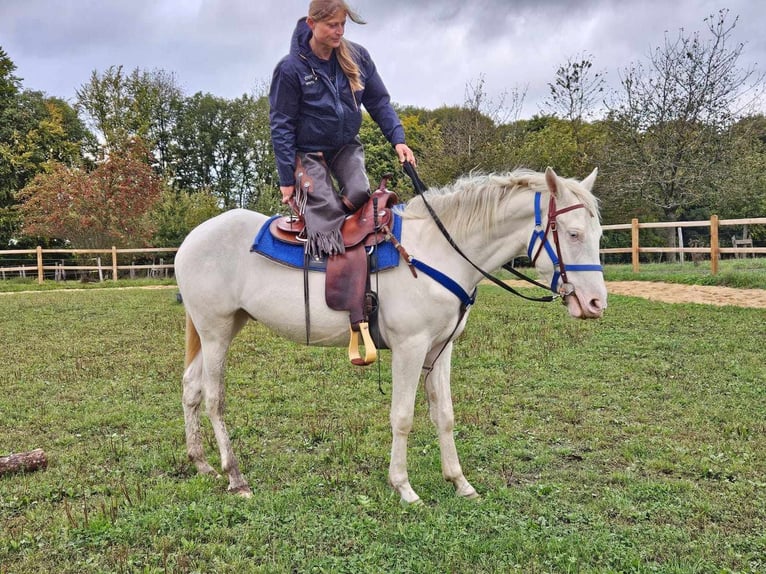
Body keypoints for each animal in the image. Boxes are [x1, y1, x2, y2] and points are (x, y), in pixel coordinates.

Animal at [176, 166, 612, 504]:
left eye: (598, 235)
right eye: (572, 234)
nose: (595, 304)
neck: (440, 251)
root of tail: (191, 240)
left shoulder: (441, 349)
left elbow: (445, 414)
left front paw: (460, 482)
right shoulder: (410, 347)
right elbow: (402, 417)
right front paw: (403, 487)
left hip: (223, 326)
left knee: (191, 387)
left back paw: (201, 463)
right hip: (216, 331)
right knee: (214, 398)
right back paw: (235, 476)